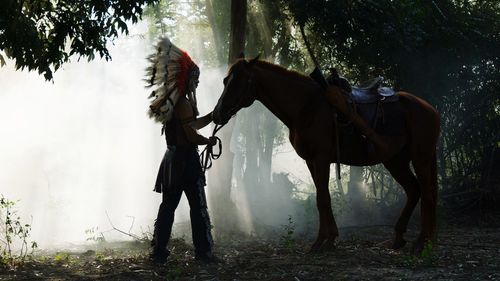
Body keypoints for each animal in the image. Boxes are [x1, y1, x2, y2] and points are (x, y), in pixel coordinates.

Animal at [213, 55, 440, 250]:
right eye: (225, 81)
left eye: (240, 81)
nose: (217, 114)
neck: (306, 106)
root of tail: (431, 110)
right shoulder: (311, 161)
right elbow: (323, 197)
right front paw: (329, 239)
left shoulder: (321, 158)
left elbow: (322, 199)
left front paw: (321, 241)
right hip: (395, 161)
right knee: (414, 190)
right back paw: (399, 237)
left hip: (420, 158)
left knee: (427, 193)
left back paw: (422, 243)